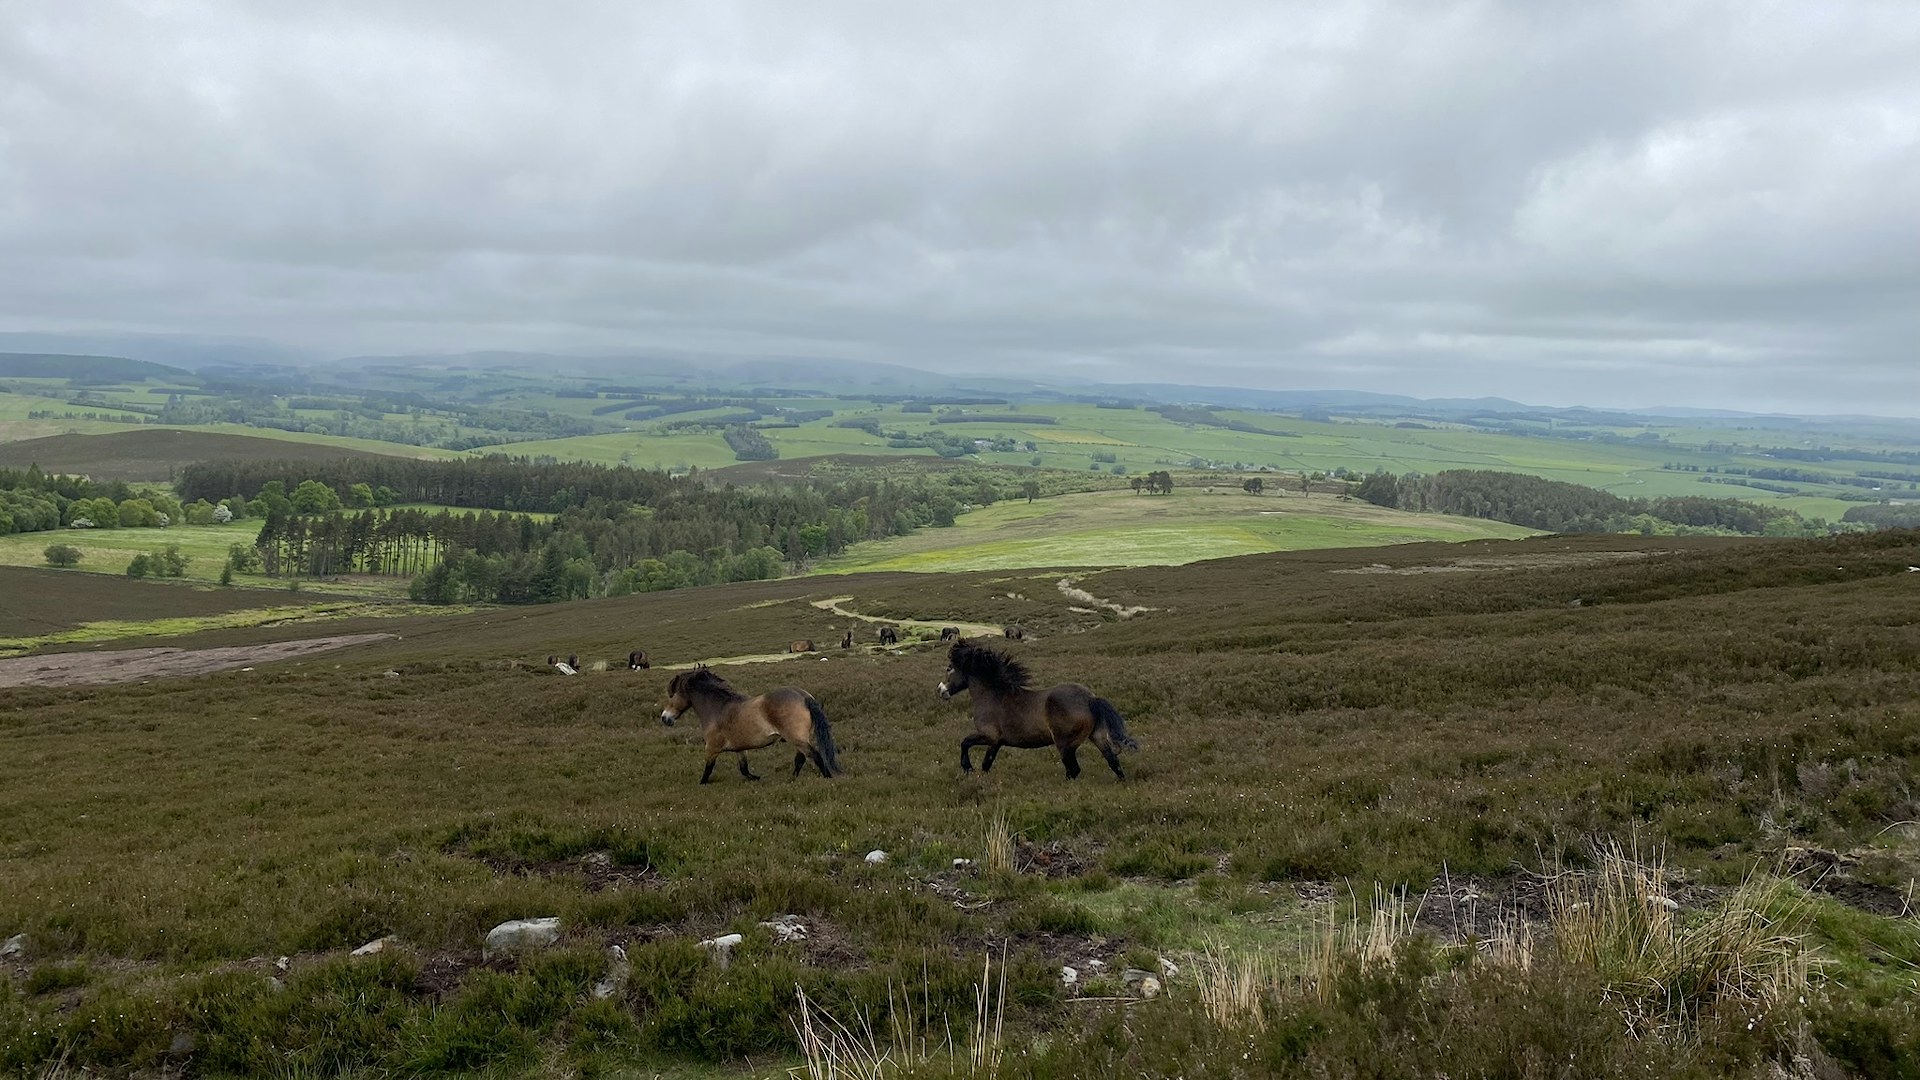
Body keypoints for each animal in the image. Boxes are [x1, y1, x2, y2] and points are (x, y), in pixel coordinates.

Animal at [660, 664, 840, 780]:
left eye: (672, 695)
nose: (664, 718)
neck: (717, 708)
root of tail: (803, 696)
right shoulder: (740, 749)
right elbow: (744, 769)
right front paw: (757, 778)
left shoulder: (711, 748)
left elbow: (707, 771)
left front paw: (702, 784)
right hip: (800, 739)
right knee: (801, 759)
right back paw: (792, 779)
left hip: (796, 738)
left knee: (814, 755)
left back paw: (827, 778)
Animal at [936, 638, 1128, 772]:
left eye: (949, 668)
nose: (940, 690)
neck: (991, 696)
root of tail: (1090, 699)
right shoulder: (996, 743)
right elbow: (986, 764)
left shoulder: (989, 736)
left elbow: (965, 743)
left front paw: (967, 767)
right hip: (1097, 736)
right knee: (1113, 762)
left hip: (1065, 745)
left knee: (1073, 770)